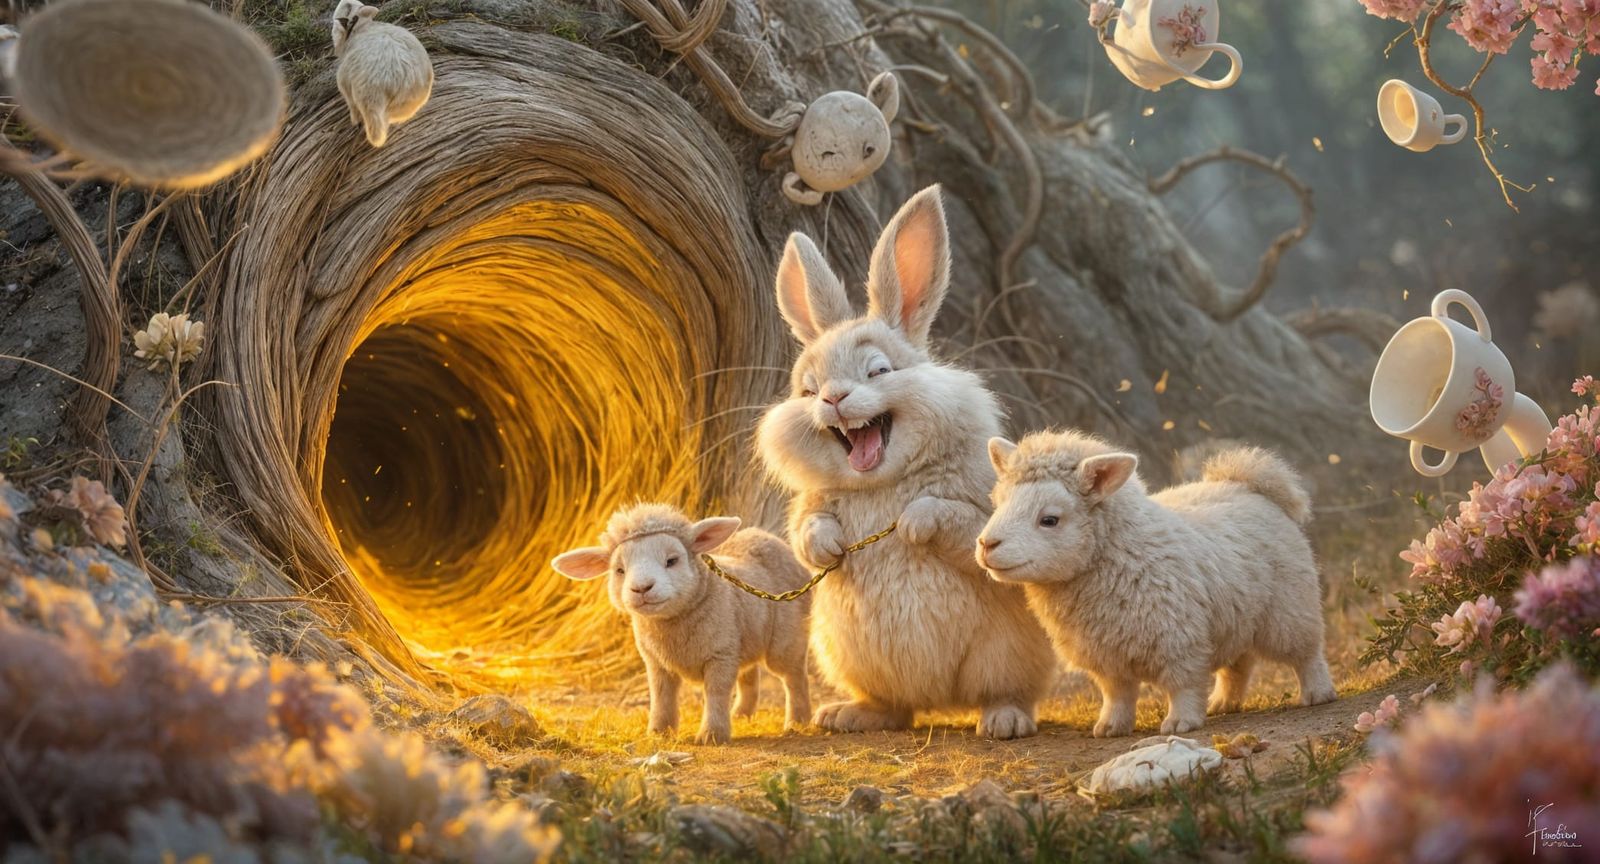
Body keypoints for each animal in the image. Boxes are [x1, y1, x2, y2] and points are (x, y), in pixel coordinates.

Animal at [333, 0, 433, 148]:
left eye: (348, 6)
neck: (360, 28)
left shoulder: (344, 84)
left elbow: (352, 107)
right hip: (404, 105)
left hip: (363, 93)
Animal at [552, 503, 812, 744]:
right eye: (619, 570)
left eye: (671, 560)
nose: (641, 588)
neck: (671, 624)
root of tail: (766, 537)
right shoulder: (657, 663)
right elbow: (661, 697)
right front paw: (659, 733)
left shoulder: (721, 655)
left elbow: (716, 693)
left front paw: (712, 736)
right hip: (745, 635)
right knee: (750, 674)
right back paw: (742, 716)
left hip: (786, 640)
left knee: (794, 676)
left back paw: (797, 721)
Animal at [756, 185, 1055, 739]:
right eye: (806, 389)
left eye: (878, 371)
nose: (832, 399)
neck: (882, 480)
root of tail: (940, 702)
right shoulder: (810, 504)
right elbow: (807, 531)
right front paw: (831, 548)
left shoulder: (980, 511)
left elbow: (957, 522)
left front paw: (914, 525)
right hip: (850, 658)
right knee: (895, 708)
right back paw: (848, 716)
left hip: (1002, 657)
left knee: (1006, 692)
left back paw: (1003, 721)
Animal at [977, 431, 1337, 738]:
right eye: (999, 502)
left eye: (1049, 519)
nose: (986, 544)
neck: (1123, 551)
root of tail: (1249, 487)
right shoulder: (1108, 658)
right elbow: (1117, 695)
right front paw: (1111, 727)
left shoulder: (1180, 642)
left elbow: (1183, 686)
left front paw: (1181, 722)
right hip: (1237, 618)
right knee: (1239, 665)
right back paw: (1224, 703)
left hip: (1290, 609)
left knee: (1307, 654)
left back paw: (1318, 693)